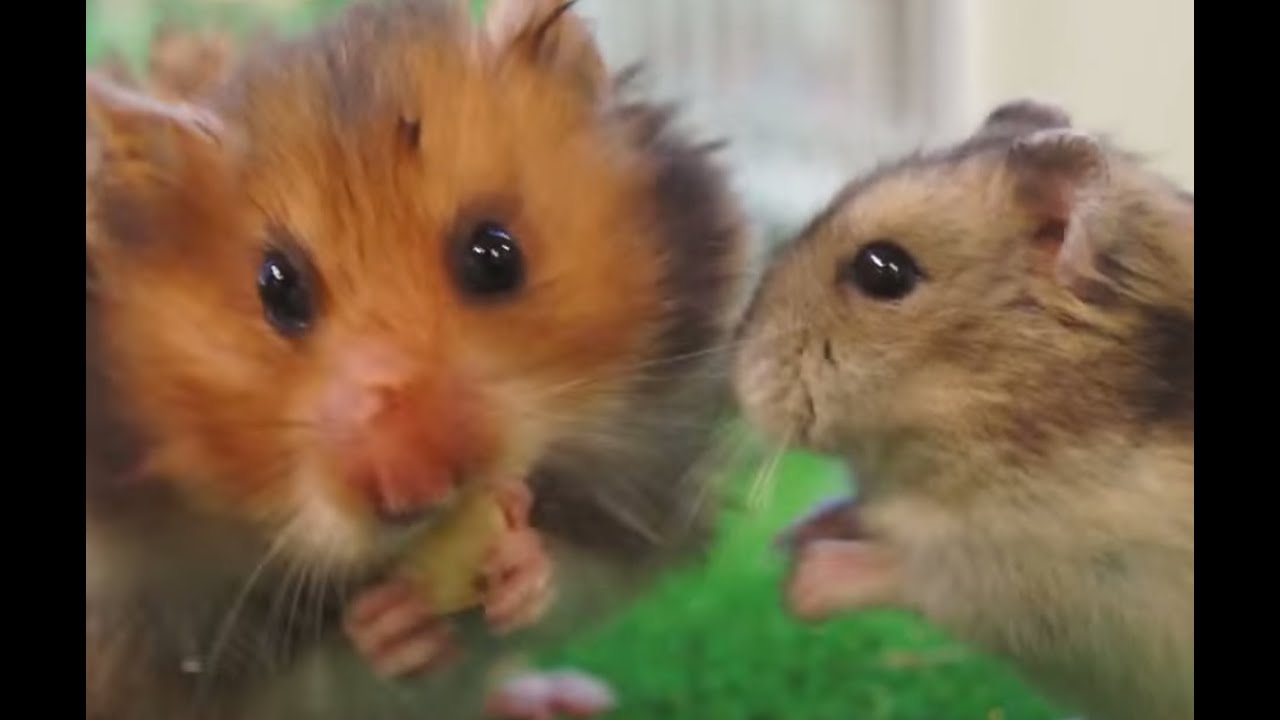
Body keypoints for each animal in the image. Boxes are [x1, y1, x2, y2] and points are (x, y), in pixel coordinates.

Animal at [85, 1, 748, 718]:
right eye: (277, 288)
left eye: (495, 253)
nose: (420, 488)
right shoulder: (174, 626)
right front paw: (390, 624)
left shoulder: (649, 474)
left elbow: (571, 568)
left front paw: (518, 561)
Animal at [734, 99, 1192, 720]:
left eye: (883, 270)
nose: (736, 381)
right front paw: (792, 535)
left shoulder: (1054, 577)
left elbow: (920, 574)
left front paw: (800, 580)